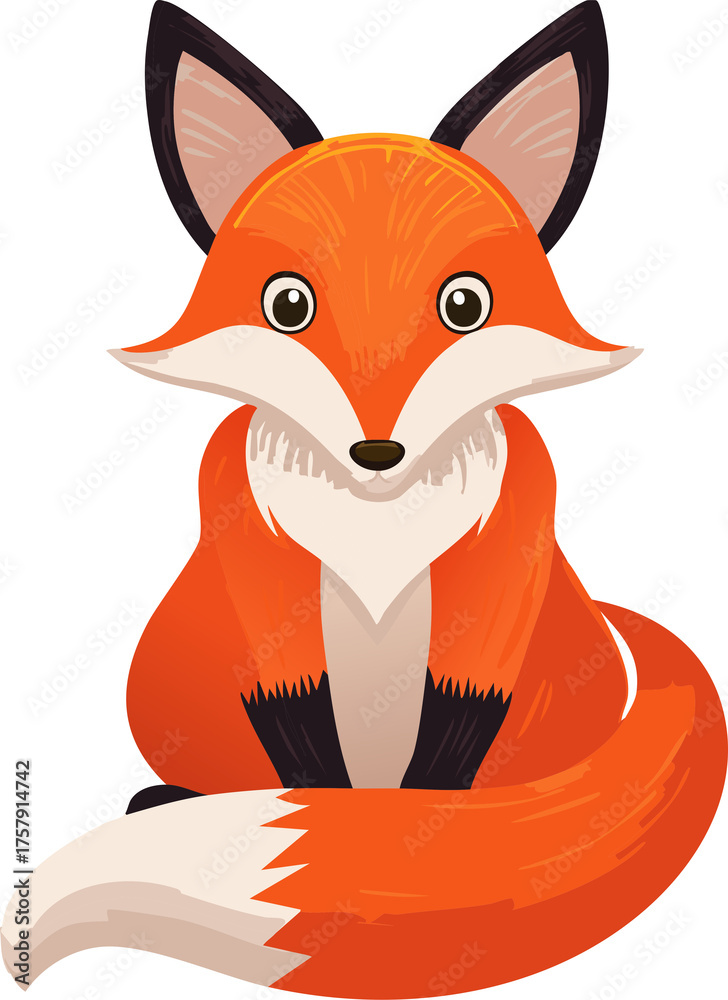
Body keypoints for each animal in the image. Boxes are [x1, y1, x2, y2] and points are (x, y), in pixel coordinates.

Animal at [105, 2, 725, 996]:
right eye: (288, 306)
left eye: (464, 306)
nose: (377, 448)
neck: (377, 523)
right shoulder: (249, 555)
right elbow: (295, 711)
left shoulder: (507, 554)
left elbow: (458, 713)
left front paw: (429, 845)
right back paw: (168, 798)